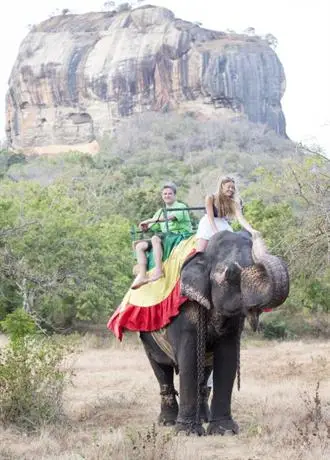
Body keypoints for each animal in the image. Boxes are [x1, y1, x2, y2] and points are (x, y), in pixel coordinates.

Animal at [139, 230, 288, 434]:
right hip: (147, 336)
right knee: (161, 368)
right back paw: (168, 422)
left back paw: (203, 418)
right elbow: (189, 358)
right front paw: (187, 432)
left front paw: (224, 431)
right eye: (230, 274)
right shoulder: (185, 312)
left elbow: (227, 358)